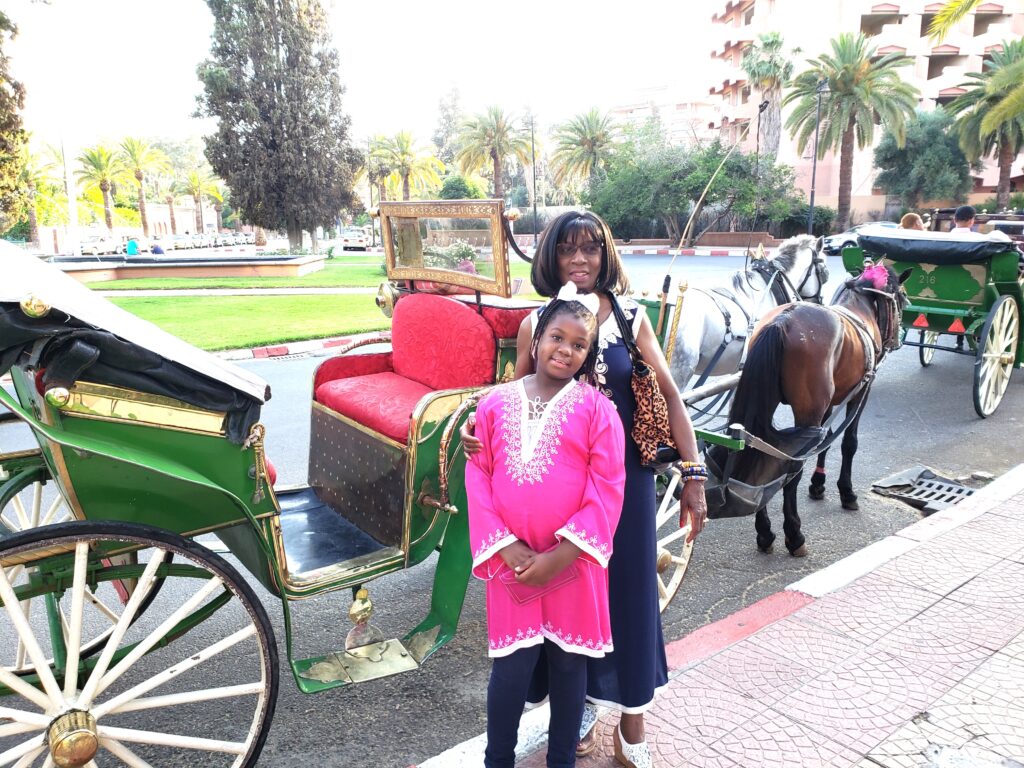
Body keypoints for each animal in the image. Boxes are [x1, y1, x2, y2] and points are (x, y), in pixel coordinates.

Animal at [704, 264, 913, 552]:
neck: (859, 310)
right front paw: (846, 492)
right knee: (792, 467)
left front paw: (818, 483)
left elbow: (824, 443)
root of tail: (781, 322)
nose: (898, 338)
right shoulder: (861, 392)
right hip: (809, 412)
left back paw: (764, 530)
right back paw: (794, 534)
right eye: (901, 297)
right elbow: (848, 442)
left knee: (762, 449)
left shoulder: (832, 400)